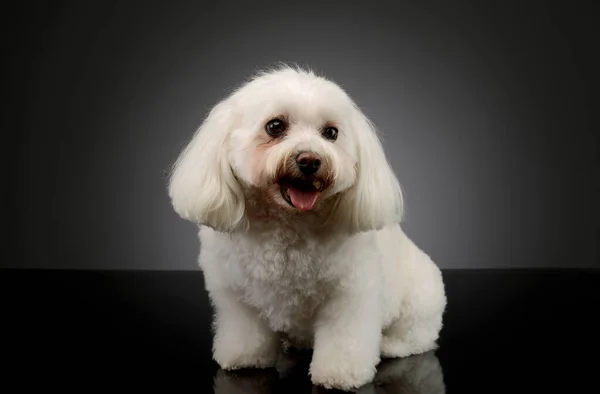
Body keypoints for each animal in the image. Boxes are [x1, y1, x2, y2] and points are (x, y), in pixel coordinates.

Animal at [166, 64, 448, 390]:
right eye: (275, 126)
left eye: (331, 133)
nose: (310, 159)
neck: (287, 225)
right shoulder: (236, 294)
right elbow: (246, 329)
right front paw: (245, 357)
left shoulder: (350, 295)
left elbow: (344, 338)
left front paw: (340, 373)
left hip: (421, 300)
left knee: (417, 336)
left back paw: (390, 345)